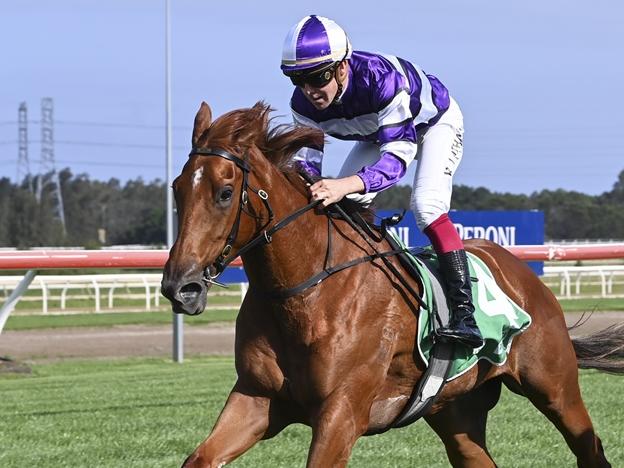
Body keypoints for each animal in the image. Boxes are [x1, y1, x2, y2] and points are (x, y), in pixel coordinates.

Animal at [162, 100, 624, 466]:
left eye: (225, 192)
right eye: (177, 188)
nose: (179, 287)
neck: (304, 294)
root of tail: (524, 272)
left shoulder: (342, 411)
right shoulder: (257, 398)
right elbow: (199, 458)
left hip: (554, 387)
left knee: (590, 447)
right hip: (455, 411)